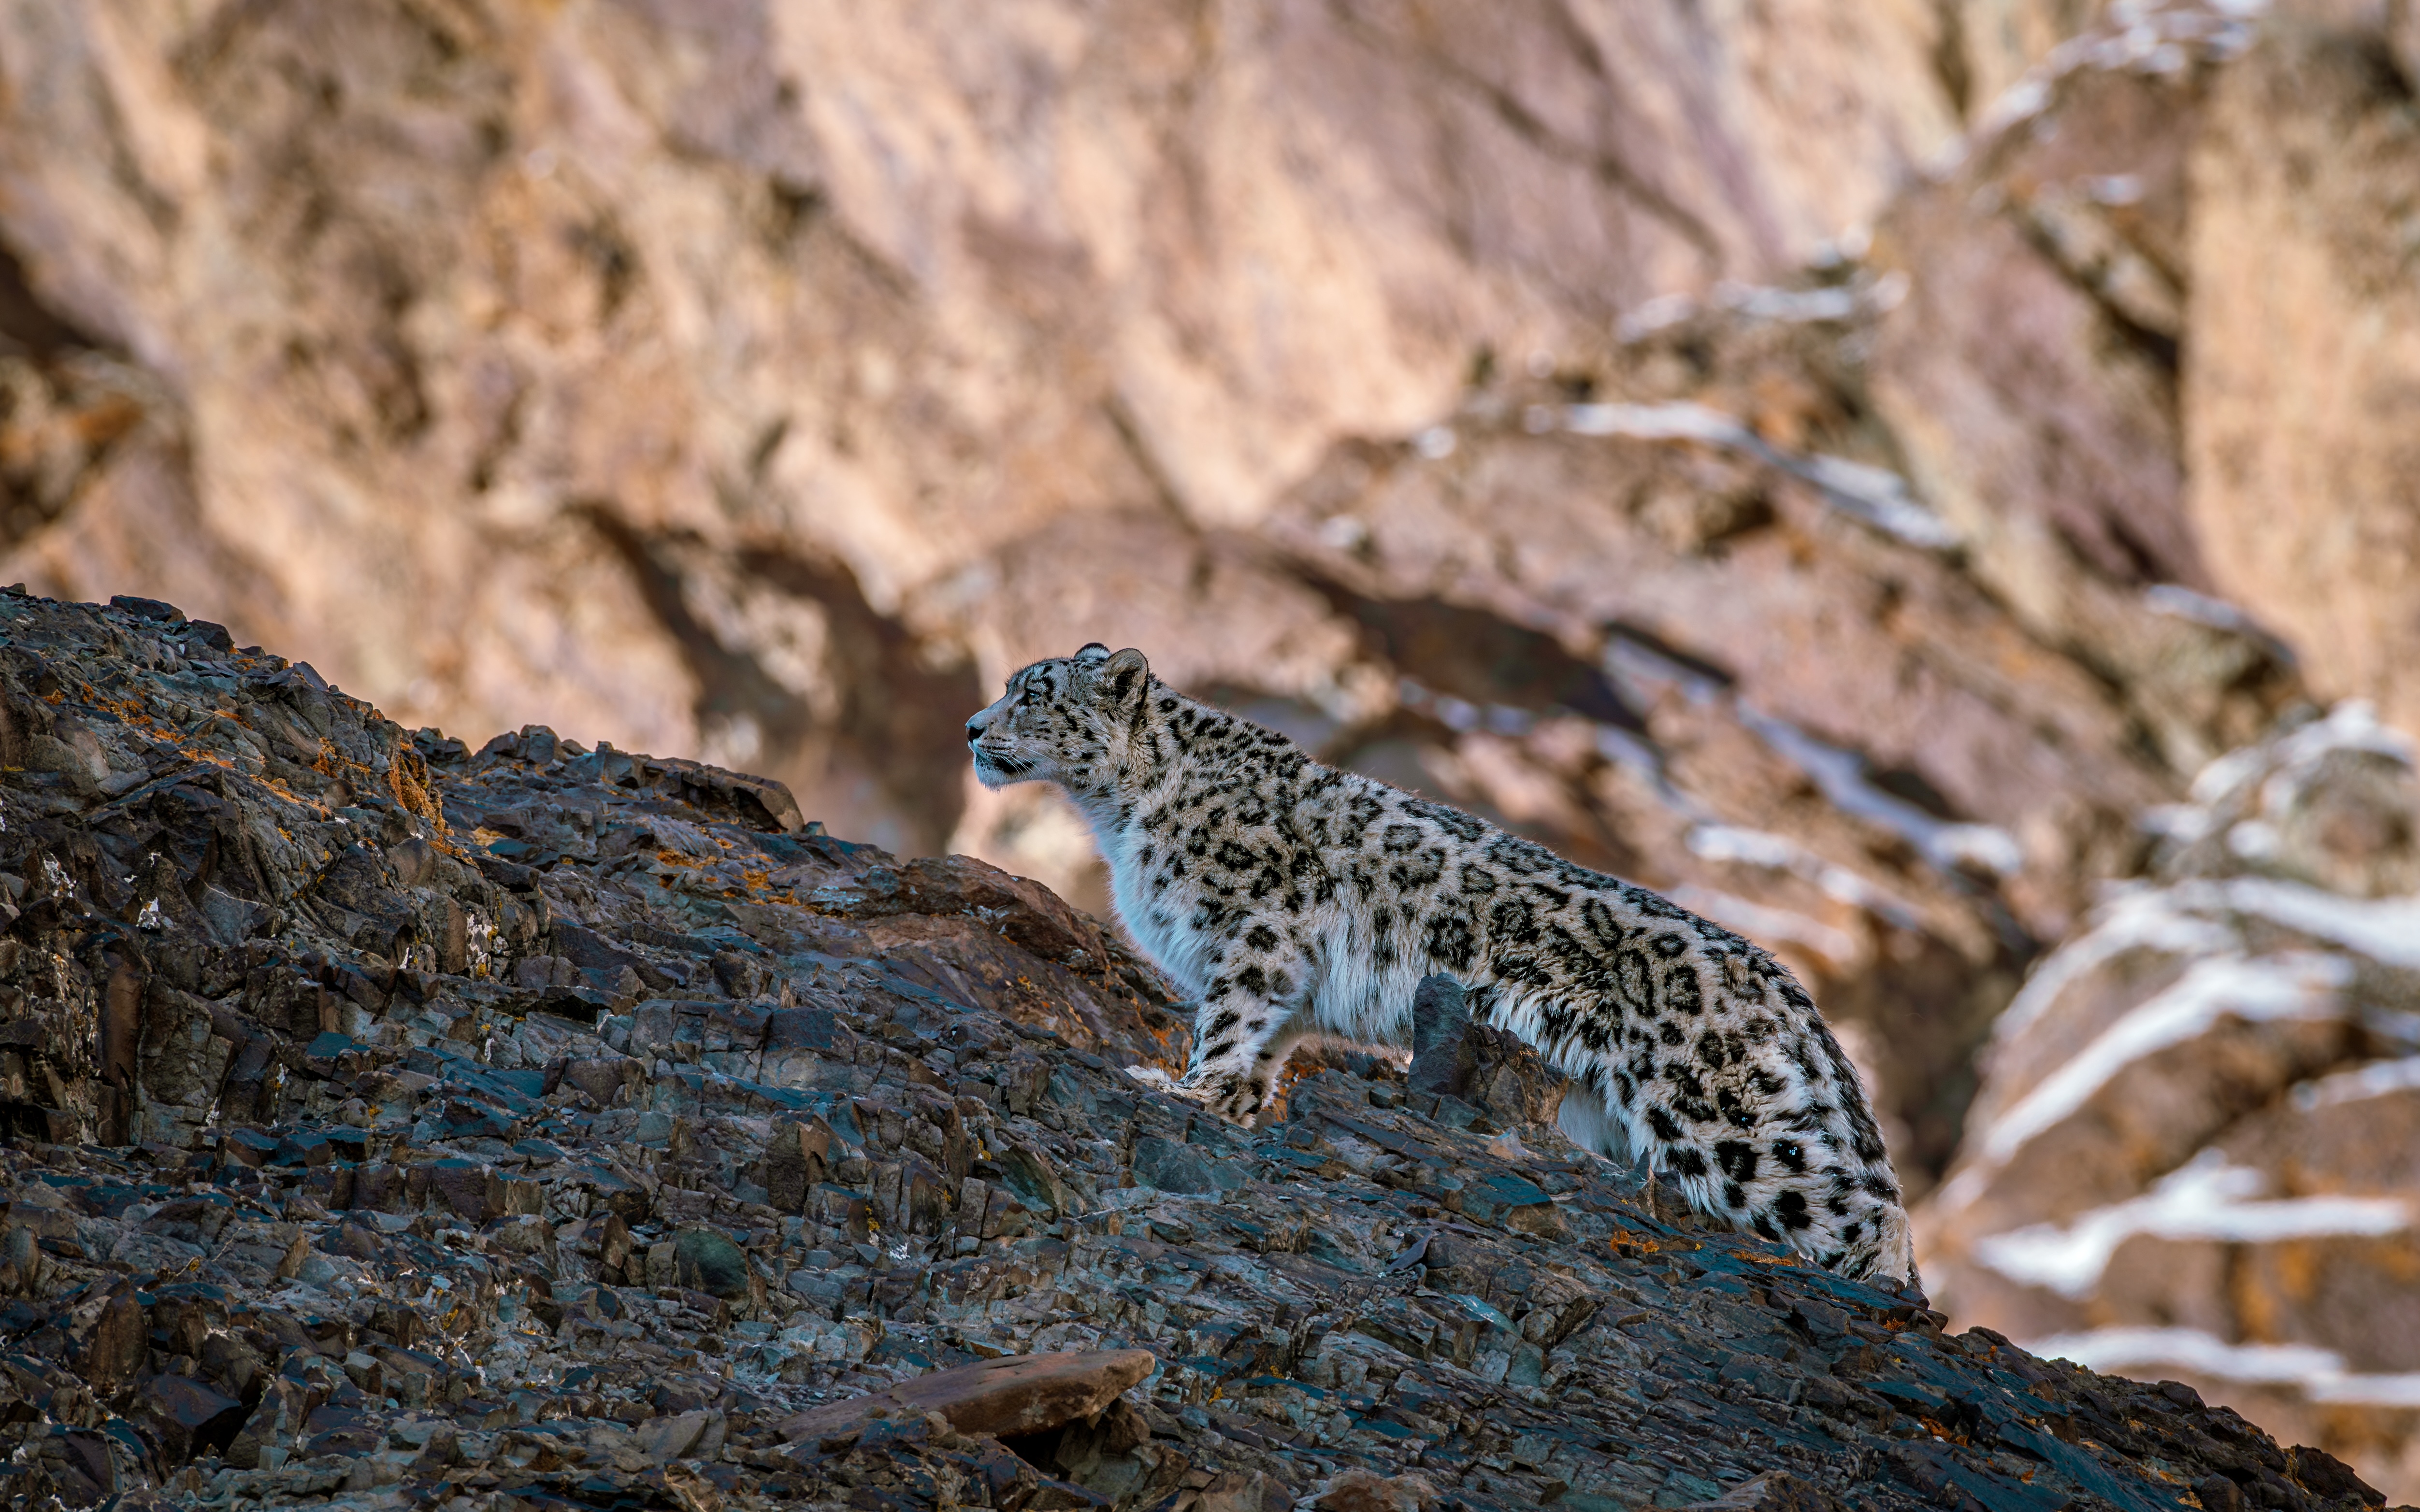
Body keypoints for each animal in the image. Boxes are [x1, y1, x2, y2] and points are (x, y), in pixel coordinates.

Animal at [964, 642, 1916, 1282]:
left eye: (1033, 694)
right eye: (1007, 688)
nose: (972, 726)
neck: (1118, 819)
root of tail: (1778, 978)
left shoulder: (1259, 925)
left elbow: (1230, 1018)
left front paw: (1186, 1089)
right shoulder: (1288, 981)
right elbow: (1263, 1045)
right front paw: (1234, 1100)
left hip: (1712, 1109)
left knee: (1862, 1212)